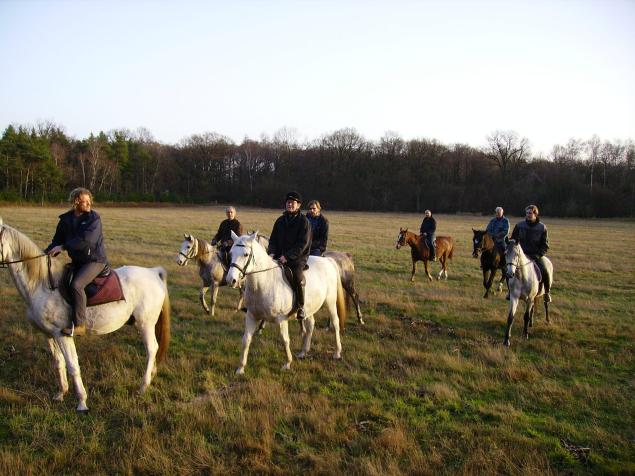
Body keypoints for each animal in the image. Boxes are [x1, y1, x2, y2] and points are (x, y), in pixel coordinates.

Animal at [0, 221, 171, 410]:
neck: (42, 284)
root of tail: (153, 272)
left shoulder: (63, 334)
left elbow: (73, 365)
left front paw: (82, 402)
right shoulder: (49, 335)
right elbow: (58, 363)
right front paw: (60, 394)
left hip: (145, 324)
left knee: (151, 349)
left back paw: (143, 387)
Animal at [225, 231, 346, 376]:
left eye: (246, 254)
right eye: (231, 253)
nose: (231, 280)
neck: (264, 282)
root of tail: (327, 260)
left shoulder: (281, 319)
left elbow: (285, 339)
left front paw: (287, 363)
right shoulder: (252, 316)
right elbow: (246, 340)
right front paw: (241, 368)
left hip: (330, 302)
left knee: (335, 323)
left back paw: (337, 352)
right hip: (309, 307)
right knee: (311, 324)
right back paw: (303, 351)